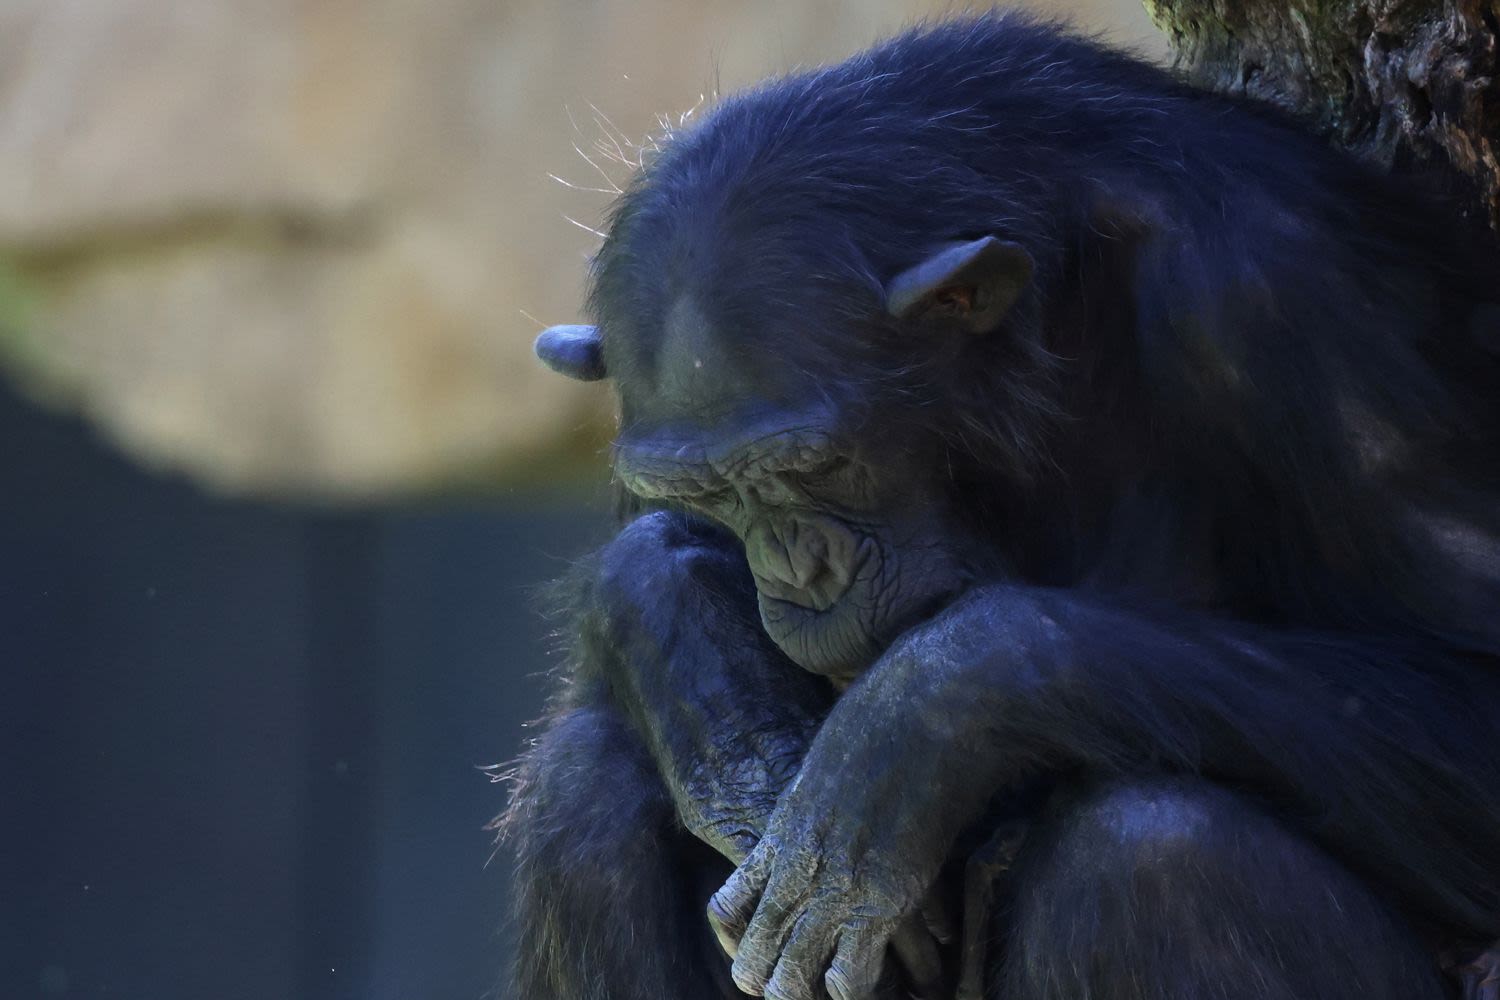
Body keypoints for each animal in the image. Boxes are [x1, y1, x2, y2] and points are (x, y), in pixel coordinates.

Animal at [498, 13, 1500, 1000]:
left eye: (814, 465)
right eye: (711, 491)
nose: (797, 567)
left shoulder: (1286, 299)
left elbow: (1469, 684)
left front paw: (919, 720)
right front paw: (714, 678)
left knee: (1156, 847)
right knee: (584, 796)